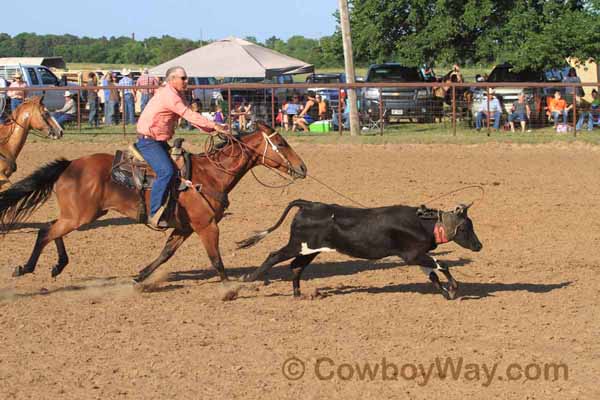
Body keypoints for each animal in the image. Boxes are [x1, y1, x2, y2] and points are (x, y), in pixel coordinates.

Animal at [0, 122, 308, 288]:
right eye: (281, 142)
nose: (303, 168)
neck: (210, 174)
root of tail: (69, 165)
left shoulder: (184, 228)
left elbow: (165, 254)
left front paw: (139, 276)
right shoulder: (206, 226)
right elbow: (216, 260)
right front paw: (229, 288)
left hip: (79, 215)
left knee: (51, 228)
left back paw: (58, 266)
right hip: (80, 216)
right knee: (45, 232)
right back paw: (26, 267)